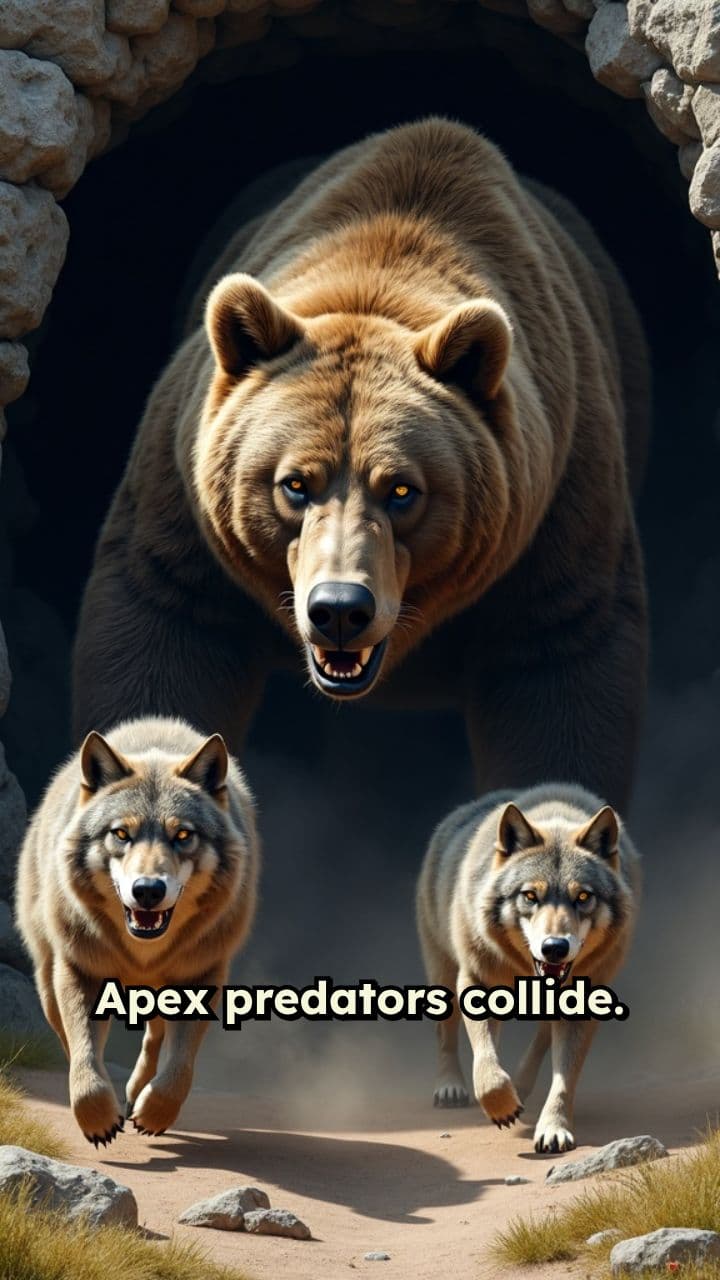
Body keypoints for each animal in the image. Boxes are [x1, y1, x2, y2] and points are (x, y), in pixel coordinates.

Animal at [16, 717, 259, 1146]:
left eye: (183, 835)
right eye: (121, 834)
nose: (148, 890)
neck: (141, 952)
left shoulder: (203, 976)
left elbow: (180, 1069)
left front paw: (154, 1111)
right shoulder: (79, 971)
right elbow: (85, 1054)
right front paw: (98, 1118)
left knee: (154, 1038)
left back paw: (135, 1095)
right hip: (46, 980)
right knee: (69, 1038)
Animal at [73, 118, 649, 809]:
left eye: (402, 490)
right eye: (294, 484)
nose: (341, 609)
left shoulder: (559, 508)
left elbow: (560, 663)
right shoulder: (186, 516)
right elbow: (163, 628)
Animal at [416, 783, 640, 1152]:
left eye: (583, 897)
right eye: (530, 896)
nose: (555, 947)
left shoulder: (584, 1000)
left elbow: (563, 1078)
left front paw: (553, 1128)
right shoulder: (475, 979)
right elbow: (485, 1060)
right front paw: (499, 1103)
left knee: (541, 1037)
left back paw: (520, 1085)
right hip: (443, 975)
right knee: (447, 1035)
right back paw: (451, 1087)